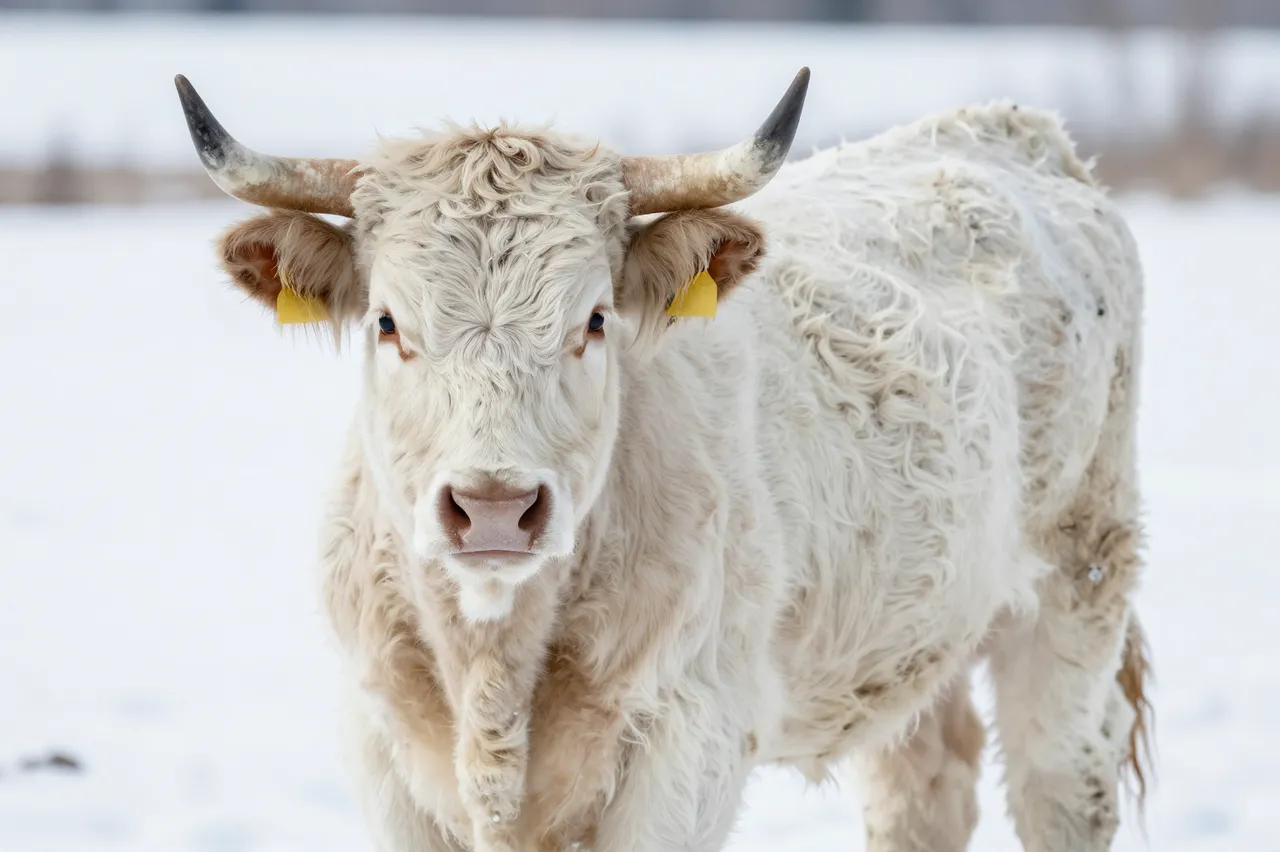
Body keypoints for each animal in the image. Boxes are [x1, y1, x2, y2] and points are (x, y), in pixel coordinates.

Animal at [173, 67, 1152, 852]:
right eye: (387, 322)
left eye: (595, 319)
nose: (494, 507)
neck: (494, 669)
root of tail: (1014, 129)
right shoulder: (385, 756)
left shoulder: (688, 751)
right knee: (925, 790)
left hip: (1079, 579)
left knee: (1062, 780)